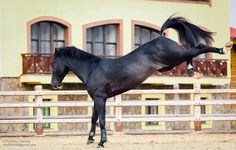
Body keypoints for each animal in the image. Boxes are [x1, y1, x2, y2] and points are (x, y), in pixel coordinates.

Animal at [50, 15, 233, 148]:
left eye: (53, 63)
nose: (54, 84)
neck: (92, 68)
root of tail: (160, 37)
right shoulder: (97, 98)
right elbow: (94, 118)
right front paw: (90, 139)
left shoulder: (101, 98)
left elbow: (101, 120)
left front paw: (101, 142)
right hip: (172, 60)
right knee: (190, 53)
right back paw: (191, 70)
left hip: (174, 55)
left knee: (197, 48)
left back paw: (222, 49)